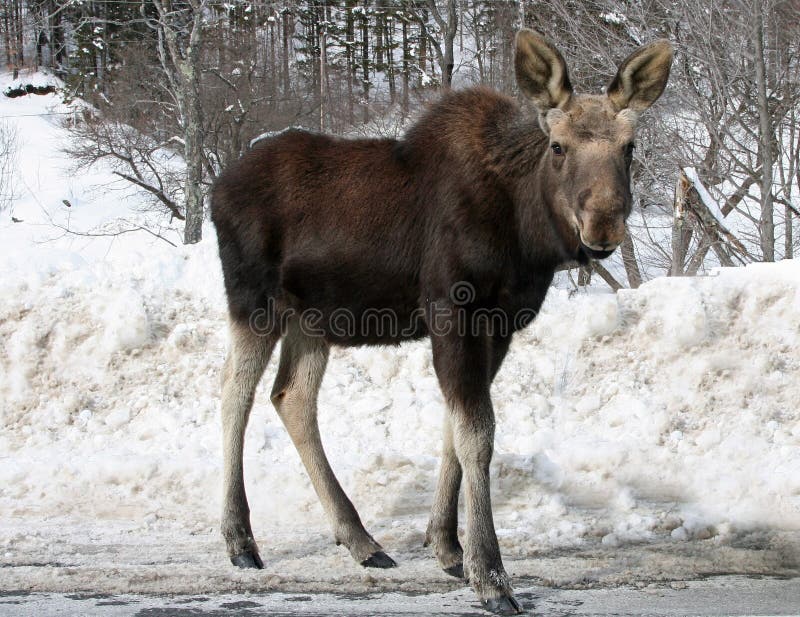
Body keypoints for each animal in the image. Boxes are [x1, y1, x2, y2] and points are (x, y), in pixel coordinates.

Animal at [210, 30, 673, 615]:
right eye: (558, 146)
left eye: (628, 147)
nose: (603, 225)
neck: (524, 236)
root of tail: (215, 191)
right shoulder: (454, 310)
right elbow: (477, 433)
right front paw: (490, 576)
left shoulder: (499, 323)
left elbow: (457, 427)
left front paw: (448, 547)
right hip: (253, 300)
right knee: (234, 392)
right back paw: (240, 540)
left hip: (311, 318)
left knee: (291, 396)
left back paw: (360, 539)